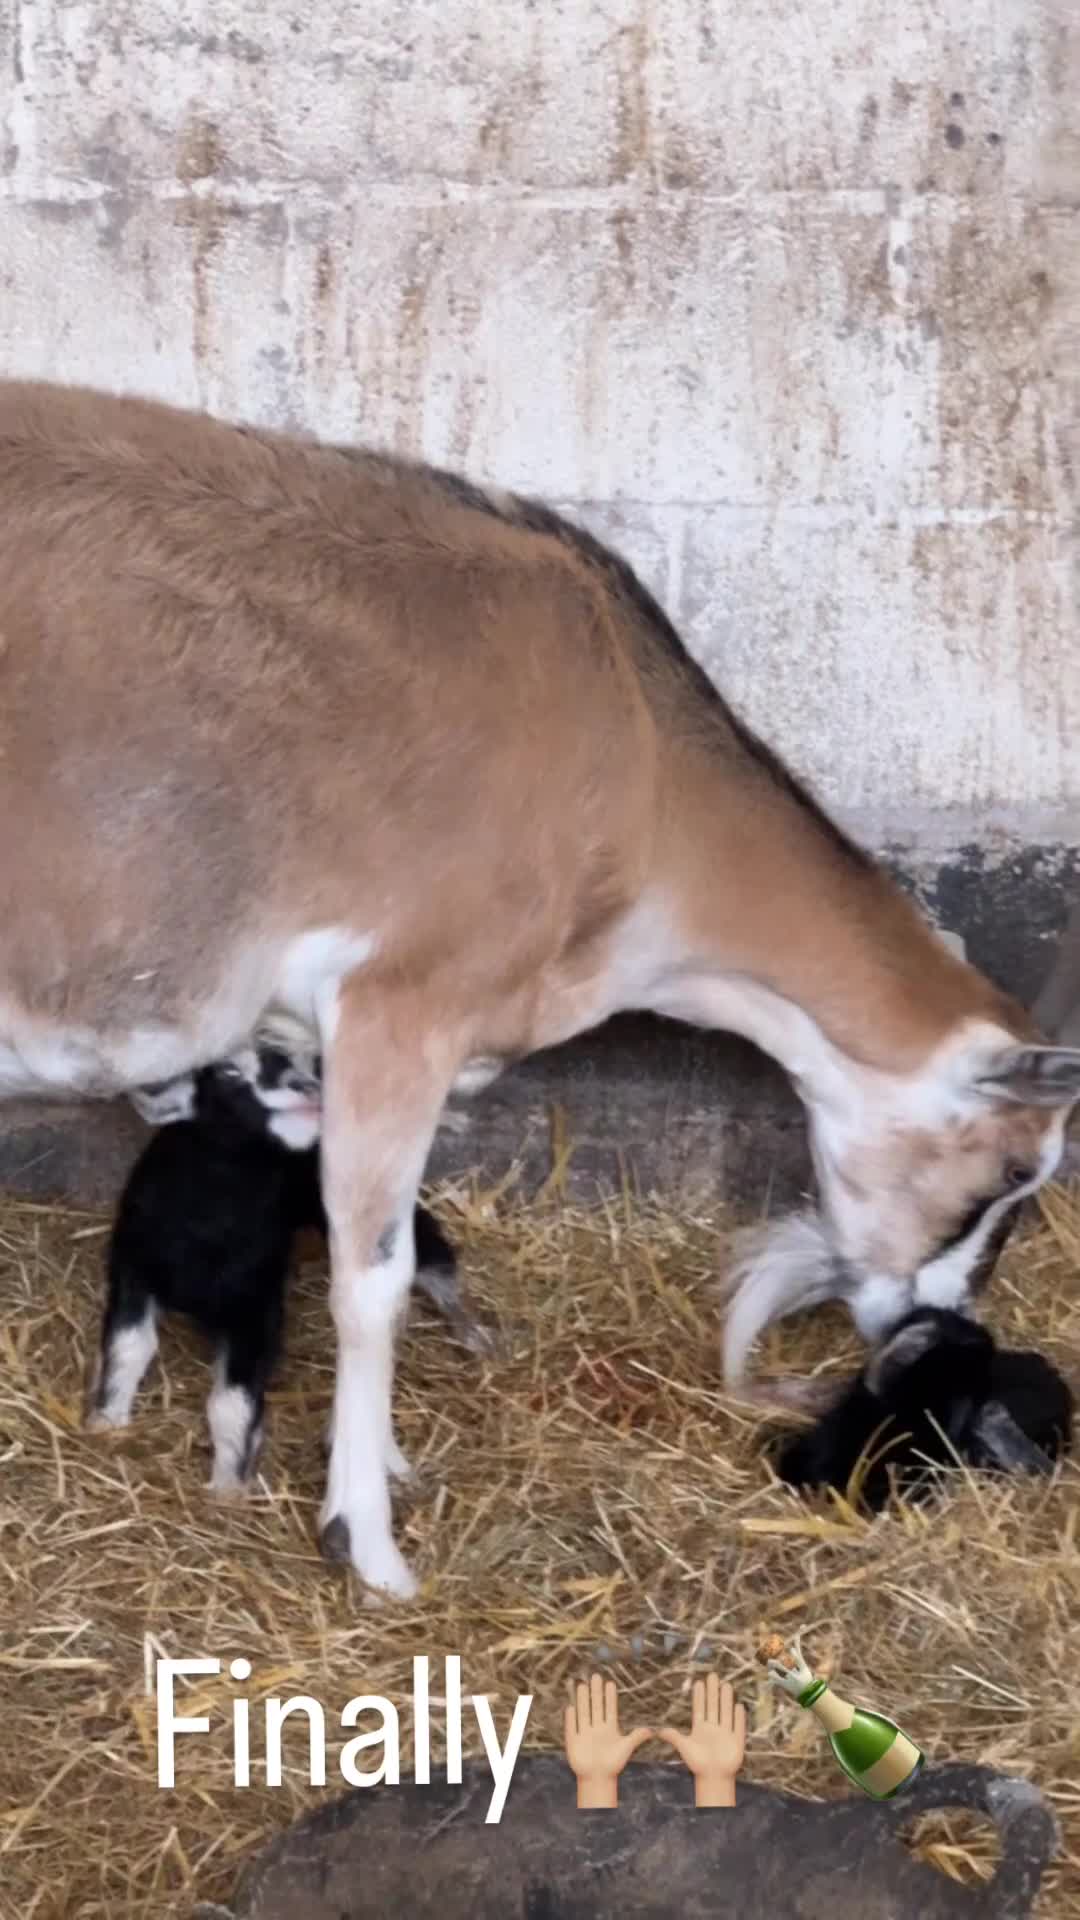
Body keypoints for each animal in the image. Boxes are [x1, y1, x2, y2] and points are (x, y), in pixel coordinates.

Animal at [91, 1041, 488, 1490]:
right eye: (228, 1071)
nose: (305, 1085)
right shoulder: (132, 1269)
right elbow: (128, 1347)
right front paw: (107, 1424)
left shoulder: (257, 1308)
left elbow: (230, 1402)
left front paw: (227, 1487)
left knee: (429, 1254)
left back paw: (475, 1335)